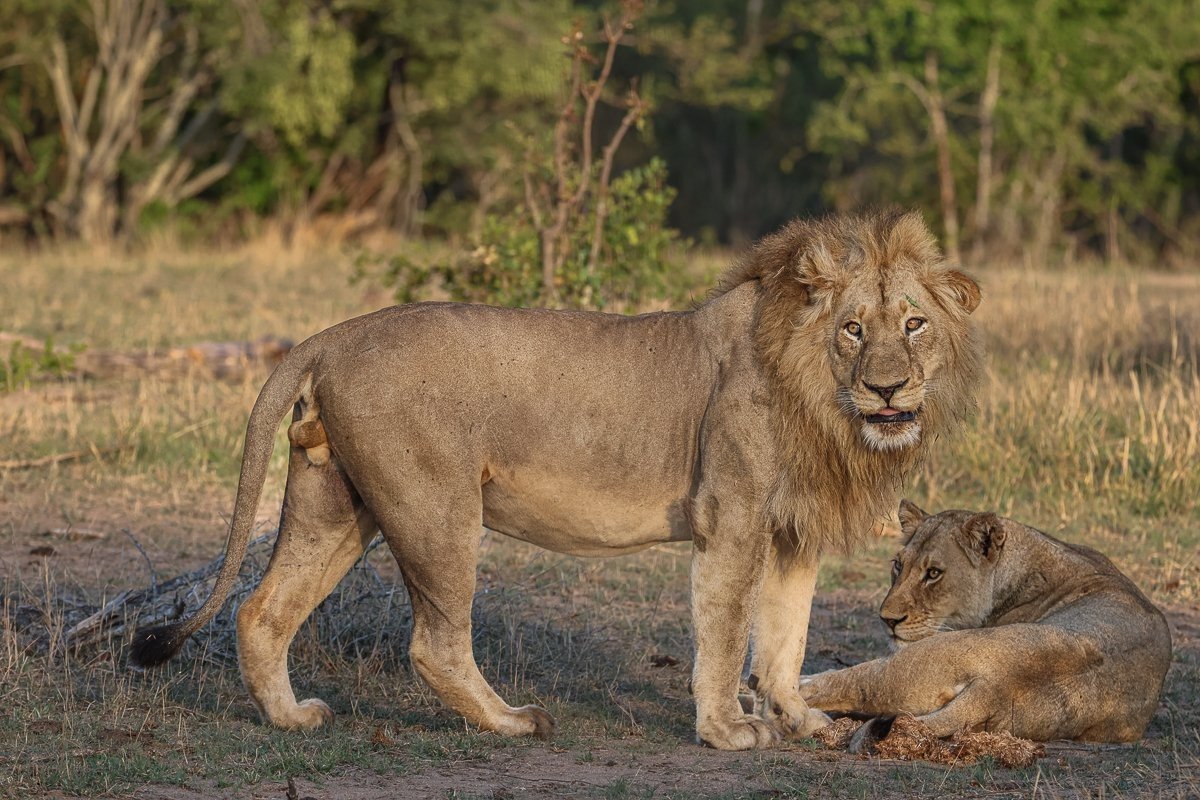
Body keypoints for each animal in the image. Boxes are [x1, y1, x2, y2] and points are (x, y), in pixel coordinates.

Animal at [129, 210, 983, 751]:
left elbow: (784, 636)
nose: (888, 391)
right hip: (435, 508)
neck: (823, 401)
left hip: (336, 504)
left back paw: (291, 719)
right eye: (854, 330)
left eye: (914, 325)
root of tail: (332, 334)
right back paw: (513, 723)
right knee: (434, 643)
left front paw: (800, 721)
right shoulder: (731, 515)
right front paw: (728, 731)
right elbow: (726, 632)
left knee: (262, 612)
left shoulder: (788, 531)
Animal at [801, 502, 1172, 742]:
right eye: (898, 565)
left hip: (913, 661)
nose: (887, 619)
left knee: (843, 683)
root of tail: (996, 688)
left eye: (933, 573)